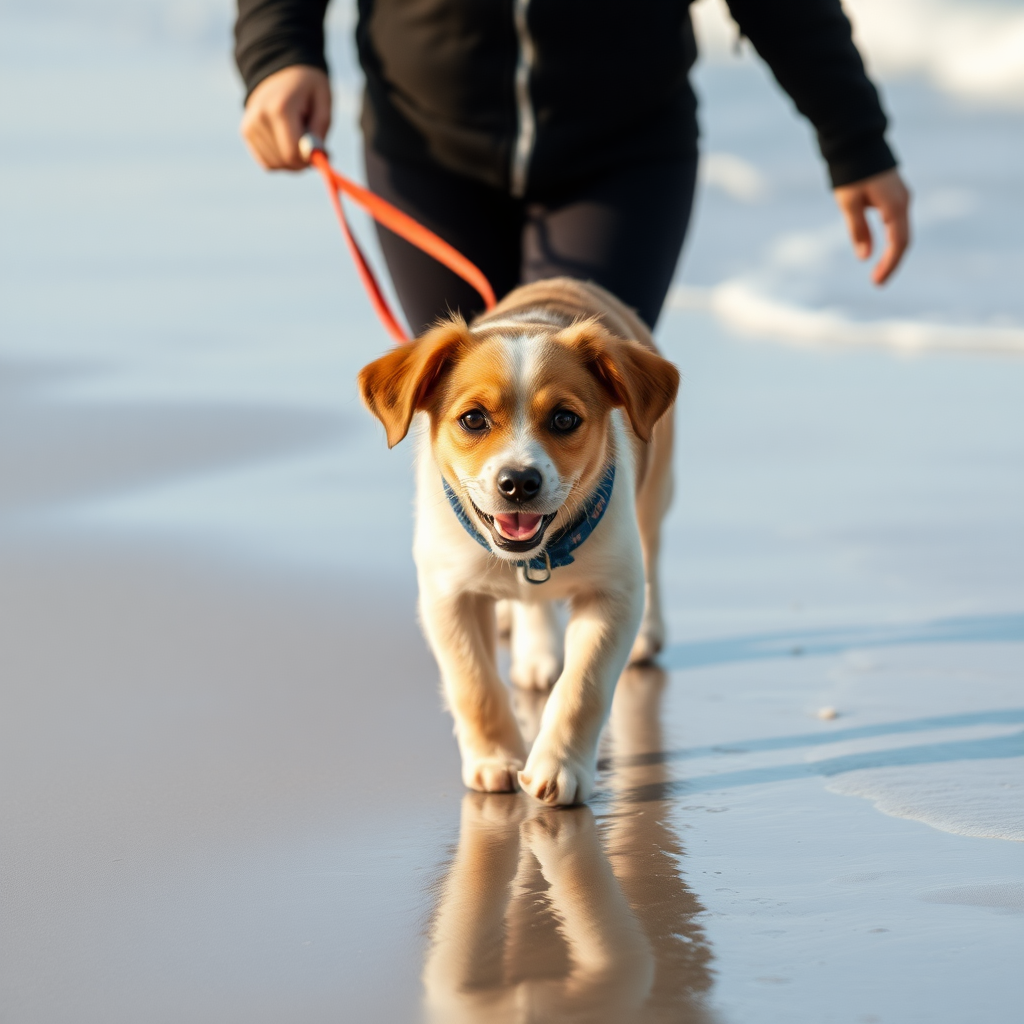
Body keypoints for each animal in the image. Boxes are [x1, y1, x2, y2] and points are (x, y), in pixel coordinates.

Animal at [360, 276, 679, 802]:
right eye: (473, 419)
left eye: (565, 420)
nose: (519, 483)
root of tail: (565, 280)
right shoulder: (447, 595)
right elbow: (474, 685)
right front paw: (495, 758)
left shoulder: (611, 594)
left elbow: (583, 687)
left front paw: (559, 766)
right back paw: (533, 650)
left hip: (656, 493)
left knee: (653, 554)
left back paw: (645, 635)